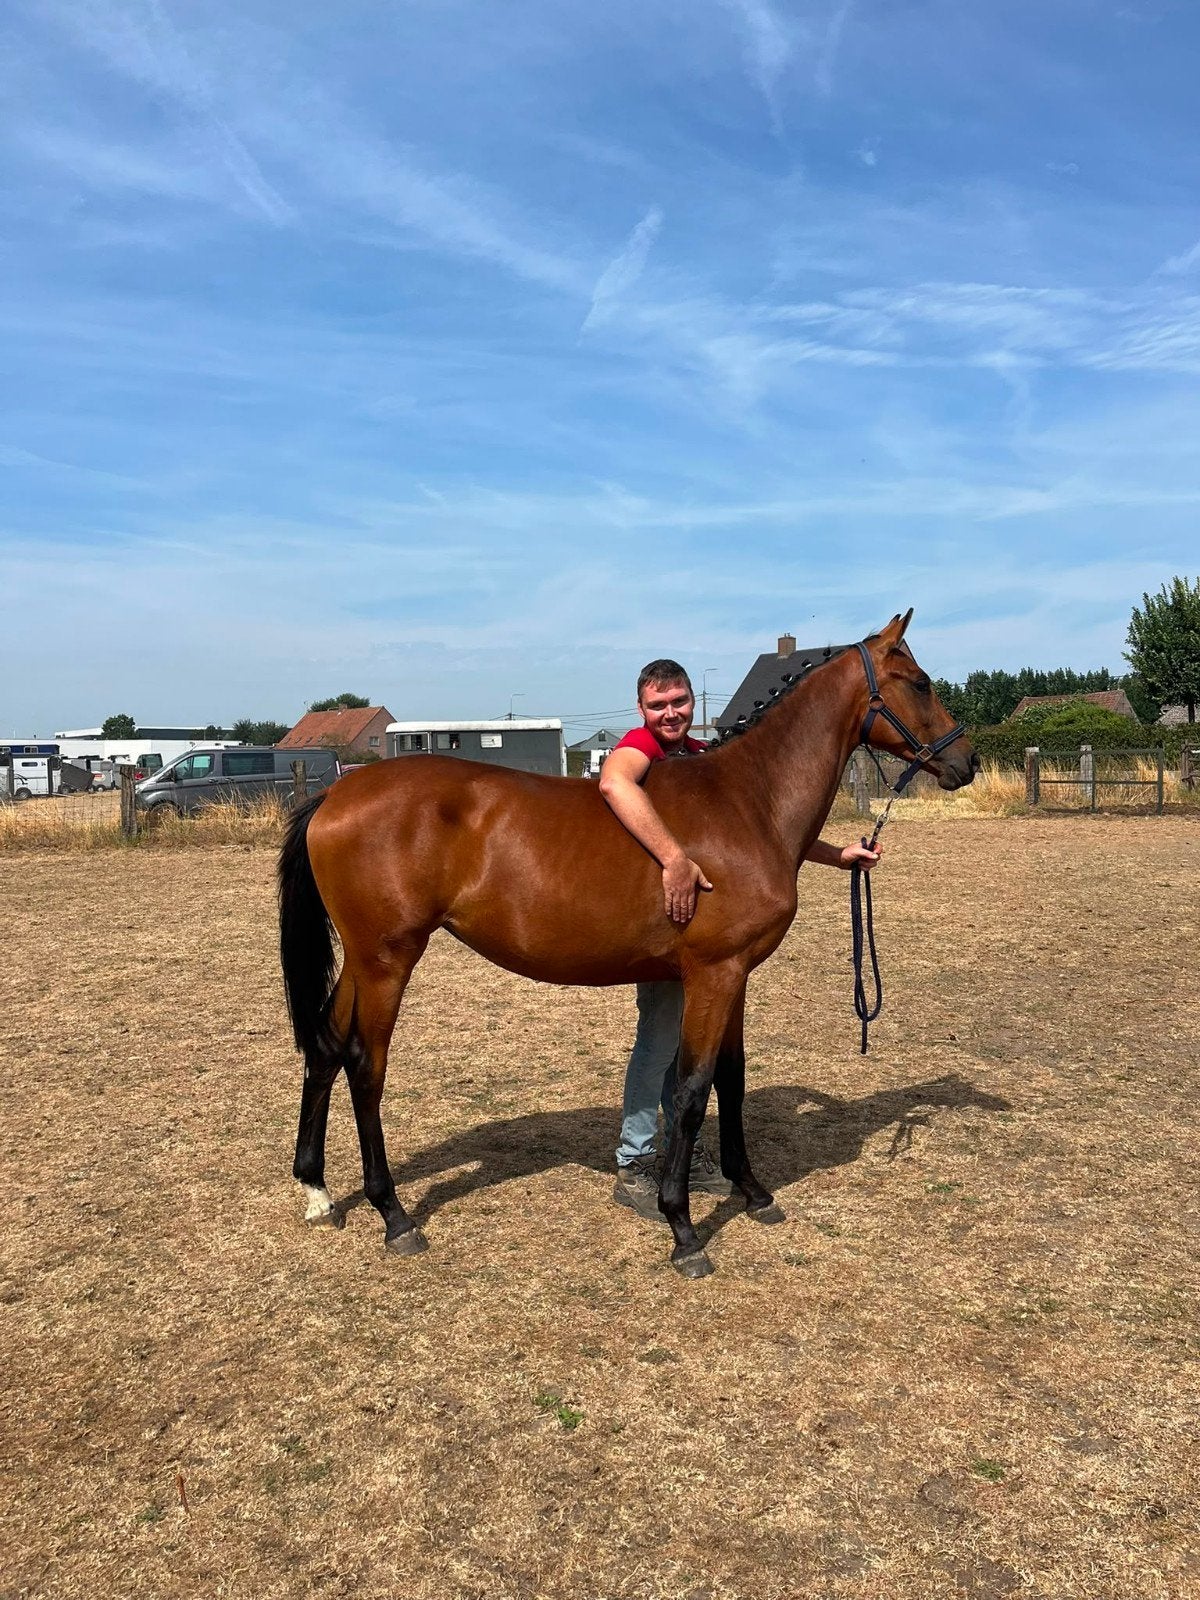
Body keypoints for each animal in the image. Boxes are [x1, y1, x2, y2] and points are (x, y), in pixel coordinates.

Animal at [278, 610, 978, 1278]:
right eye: (920, 682)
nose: (965, 761)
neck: (749, 802)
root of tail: (335, 793)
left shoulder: (735, 976)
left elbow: (732, 1080)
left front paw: (750, 1190)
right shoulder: (714, 974)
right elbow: (693, 1091)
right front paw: (683, 1228)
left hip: (362, 962)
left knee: (326, 1047)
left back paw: (317, 1190)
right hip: (388, 960)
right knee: (366, 1067)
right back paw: (393, 1215)